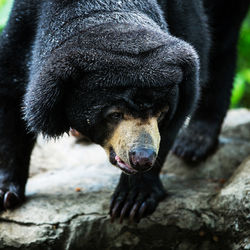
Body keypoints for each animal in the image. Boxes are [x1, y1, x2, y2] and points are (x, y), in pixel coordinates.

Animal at [0, 0, 249, 223]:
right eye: (114, 114)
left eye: (161, 112)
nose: (142, 158)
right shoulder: (24, 22)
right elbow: (11, 91)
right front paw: (6, 193)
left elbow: (178, 114)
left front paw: (132, 200)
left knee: (222, 43)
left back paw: (194, 143)